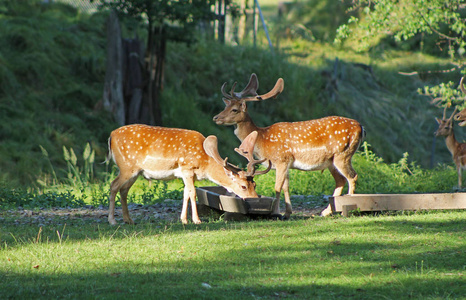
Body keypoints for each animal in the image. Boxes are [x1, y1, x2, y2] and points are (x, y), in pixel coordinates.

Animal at [107, 123, 272, 224]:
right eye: (243, 186)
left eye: (255, 184)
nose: (255, 199)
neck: (205, 163)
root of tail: (111, 136)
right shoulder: (187, 167)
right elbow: (192, 193)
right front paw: (197, 220)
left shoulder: (187, 174)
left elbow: (185, 193)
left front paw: (184, 220)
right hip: (126, 166)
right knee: (113, 185)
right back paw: (112, 220)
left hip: (135, 172)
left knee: (124, 190)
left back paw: (128, 220)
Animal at [213, 73, 366, 217]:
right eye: (225, 106)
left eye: (234, 109)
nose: (216, 117)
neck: (262, 139)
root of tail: (361, 127)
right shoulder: (286, 164)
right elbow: (286, 187)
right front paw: (287, 213)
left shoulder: (281, 159)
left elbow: (277, 187)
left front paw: (276, 213)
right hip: (331, 161)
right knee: (340, 181)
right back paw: (325, 212)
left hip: (343, 153)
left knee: (352, 176)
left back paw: (349, 207)